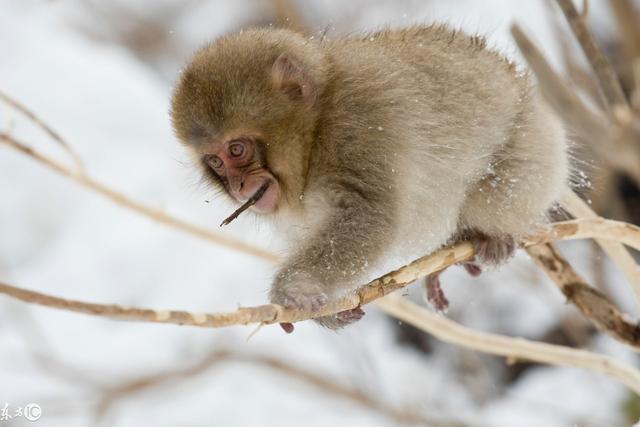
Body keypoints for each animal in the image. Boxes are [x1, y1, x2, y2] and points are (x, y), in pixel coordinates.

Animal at [169, 25, 564, 332]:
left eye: (237, 150)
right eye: (215, 162)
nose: (238, 187)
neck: (316, 129)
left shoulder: (358, 127)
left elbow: (370, 216)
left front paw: (294, 289)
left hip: (531, 149)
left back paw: (488, 235)